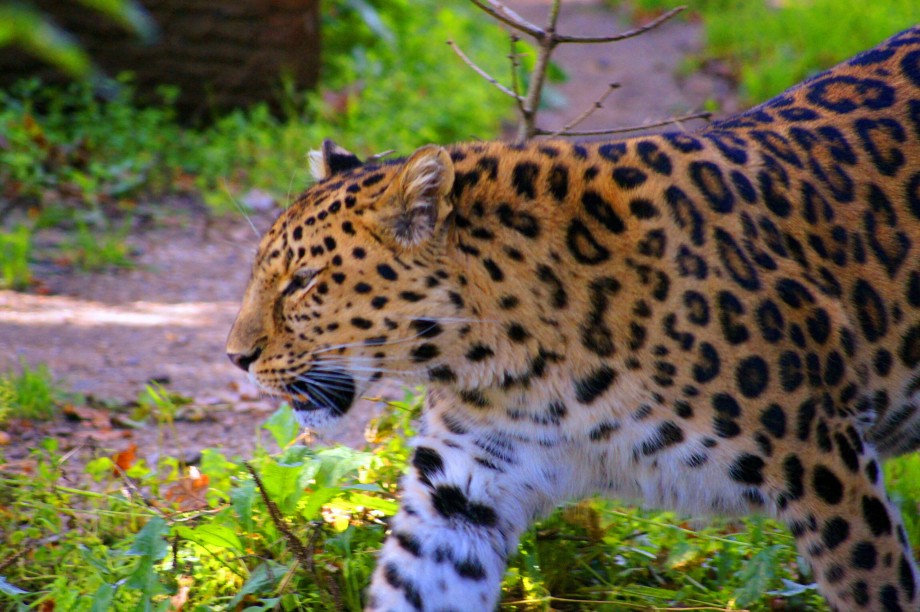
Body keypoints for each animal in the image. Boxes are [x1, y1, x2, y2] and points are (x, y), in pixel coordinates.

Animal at [226, 25, 920, 611]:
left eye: (303, 282)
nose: (236, 357)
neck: (520, 362)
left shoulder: (824, 468)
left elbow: (876, 588)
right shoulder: (462, 491)